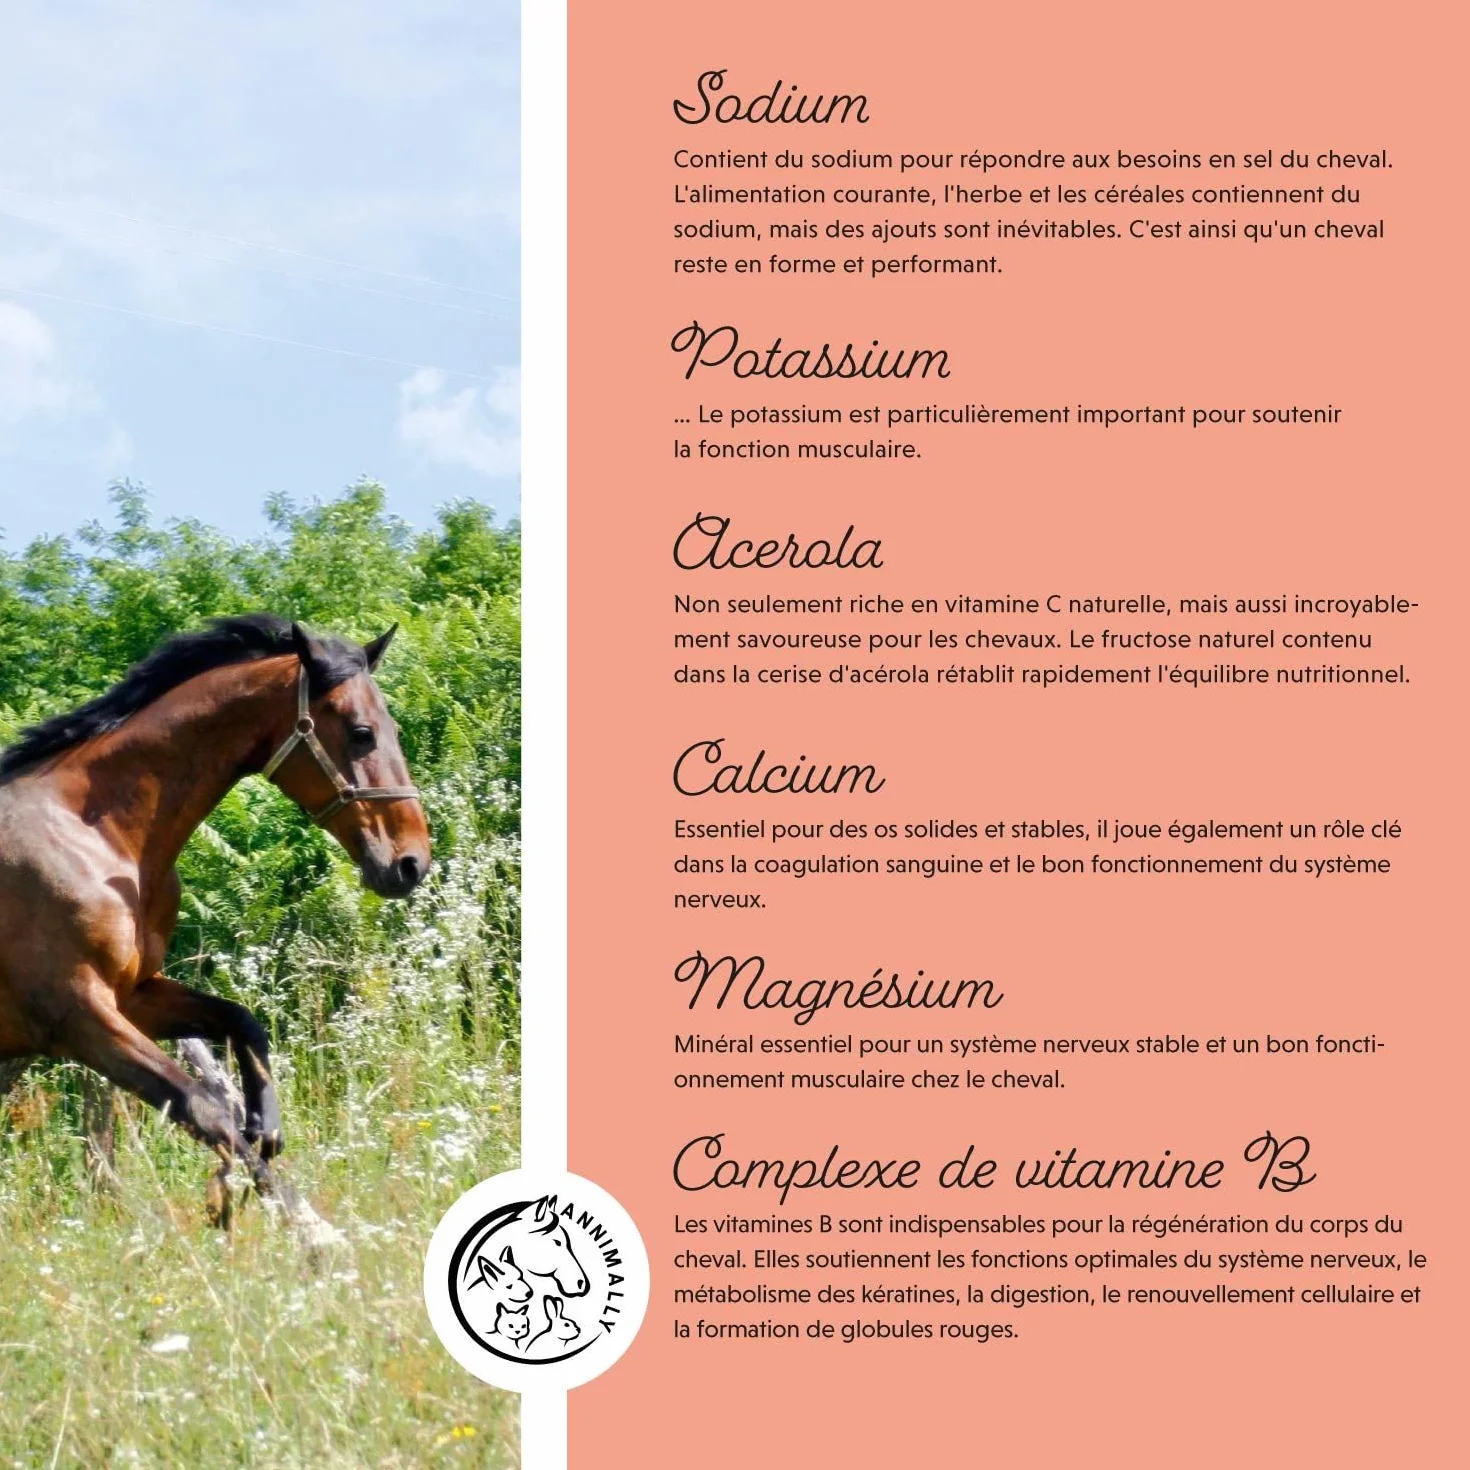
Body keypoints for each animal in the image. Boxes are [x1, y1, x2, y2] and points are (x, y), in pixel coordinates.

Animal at [0, 613, 430, 1208]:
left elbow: (242, 1023)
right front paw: (289, 1220)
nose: (412, 863)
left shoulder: (133, 995)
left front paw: (266, 1127)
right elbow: (206, 1112)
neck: (92, 837)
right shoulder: (79, 1017)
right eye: (362, 732)